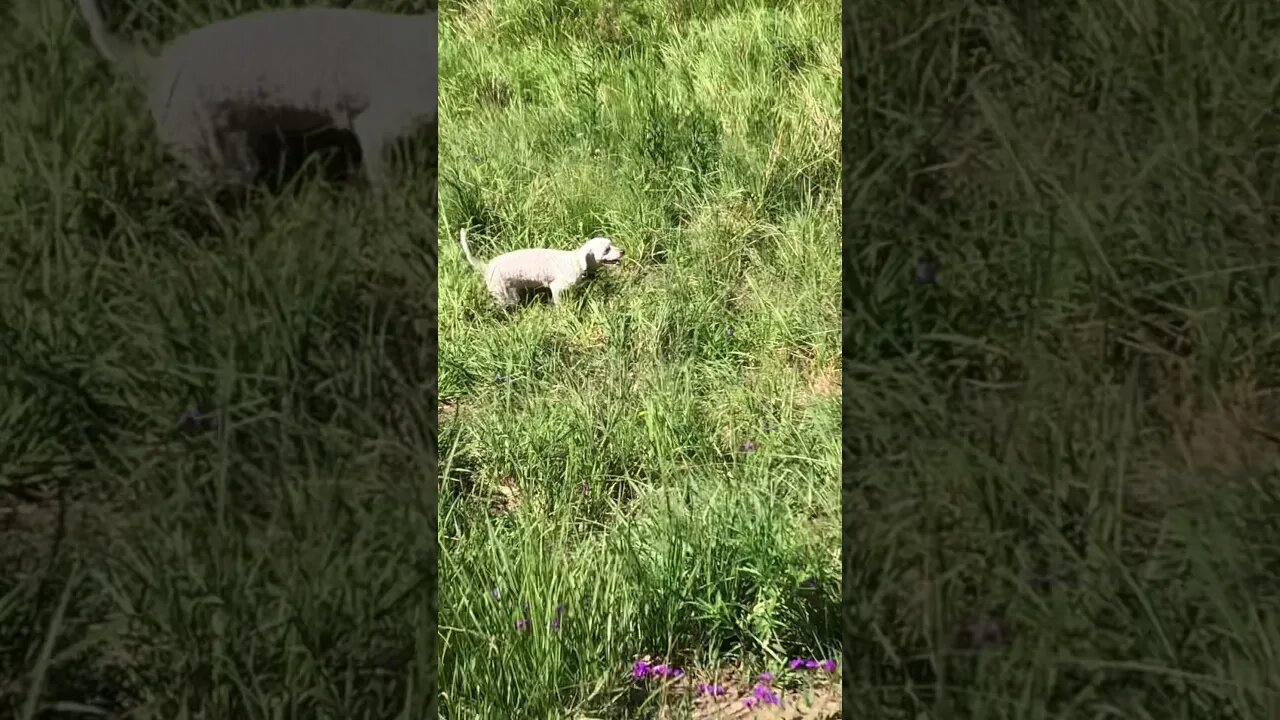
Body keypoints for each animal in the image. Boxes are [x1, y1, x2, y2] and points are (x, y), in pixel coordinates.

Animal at [460, 228, 624, 307]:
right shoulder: (556, 287)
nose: (623, 251)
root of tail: (486, 266)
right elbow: (559, 304)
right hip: (505, 295)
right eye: (607, 249)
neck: (576, 261)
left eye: (612, 243)